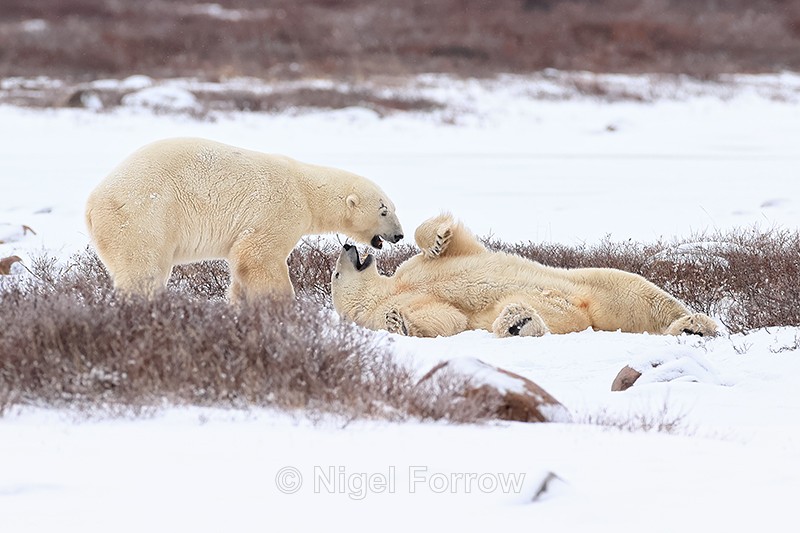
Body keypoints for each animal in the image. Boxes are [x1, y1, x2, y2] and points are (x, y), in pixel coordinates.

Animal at [85, 137, 404, 301]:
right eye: (384, 211)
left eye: (392, 207)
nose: (399, 235)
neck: (306, 188)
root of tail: (92, 202)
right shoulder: (280, 209)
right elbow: (257, 256)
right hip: (144, 216)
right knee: (143, 268)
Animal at [330, 213, 718, 338]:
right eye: (334, 275)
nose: (347, 246)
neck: (390, 289)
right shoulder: (408, 301)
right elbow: (443, 319)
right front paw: (397, 322)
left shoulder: (414, 271)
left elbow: (454, 248)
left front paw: (439, 237)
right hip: (584, 314)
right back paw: (518, 321)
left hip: (598, 283)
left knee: (645, 295)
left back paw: (696, 324)